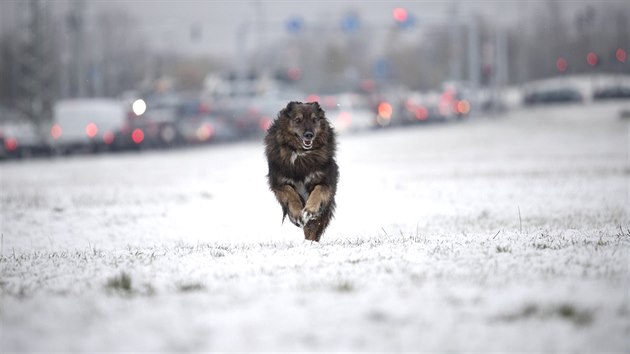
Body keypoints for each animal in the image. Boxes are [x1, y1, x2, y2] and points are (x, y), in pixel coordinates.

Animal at [264, 101, 338, 242]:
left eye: (314, 120)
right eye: (298, 120)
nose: (309, 135)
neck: (301, 153)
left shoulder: (326, 181)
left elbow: (318, 191)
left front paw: (309, 210)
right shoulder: (278, 183)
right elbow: (290, 192)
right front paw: (297, 213)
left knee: (314, 226)